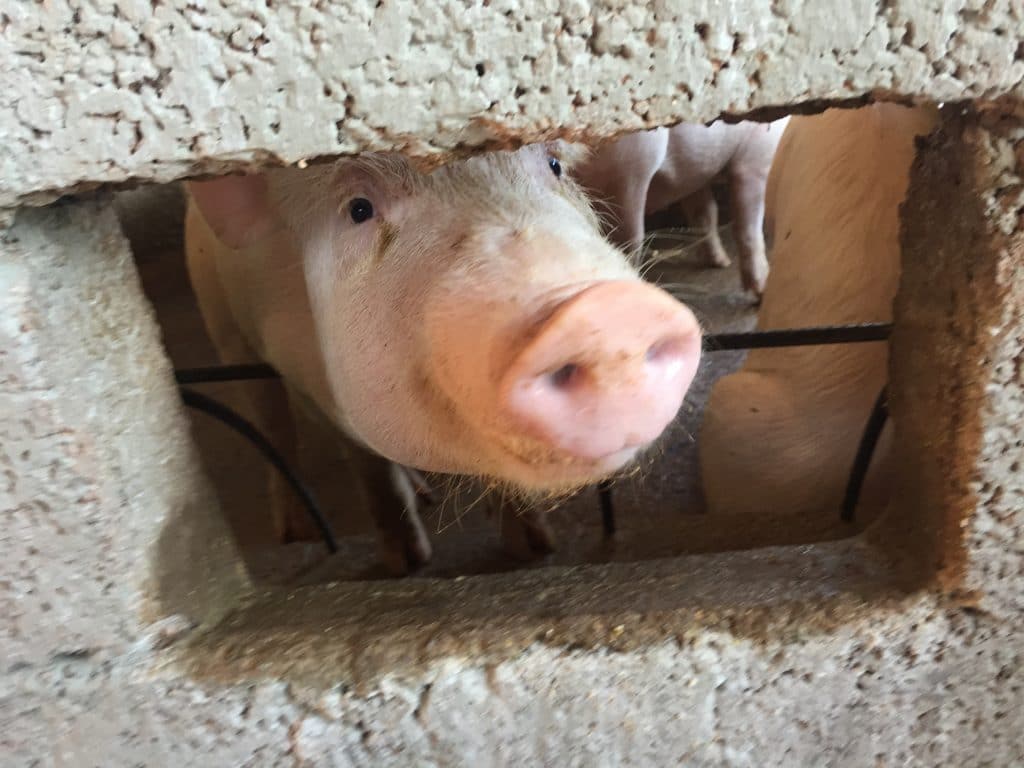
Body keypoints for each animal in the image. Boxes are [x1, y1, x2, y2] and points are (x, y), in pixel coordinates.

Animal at [186, 144, 704, 573]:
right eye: (359, 209)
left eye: (554, 165)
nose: (604, 312)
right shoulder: (312, 384)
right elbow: (369, 466)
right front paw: (408, 564)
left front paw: (535, 548)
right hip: (225, 329)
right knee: (271, 425)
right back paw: (299, 532)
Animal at [573, 119, 786, 296]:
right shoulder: (754, 161)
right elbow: (748, 228)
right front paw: (760, 292)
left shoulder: (696, 175)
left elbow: (705, 214)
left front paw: (721, 263)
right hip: (626, 176)